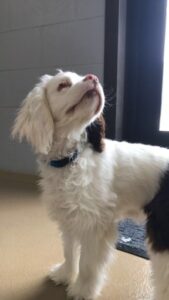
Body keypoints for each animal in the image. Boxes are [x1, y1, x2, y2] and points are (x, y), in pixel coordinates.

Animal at [12, 69, 169, 298]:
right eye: (63, 85)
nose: (93, 77)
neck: (73, 158)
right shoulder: (68, 219)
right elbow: (69, 252)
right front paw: (64, 275)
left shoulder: (94, 226)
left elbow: (87, 265)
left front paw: (82, 290)